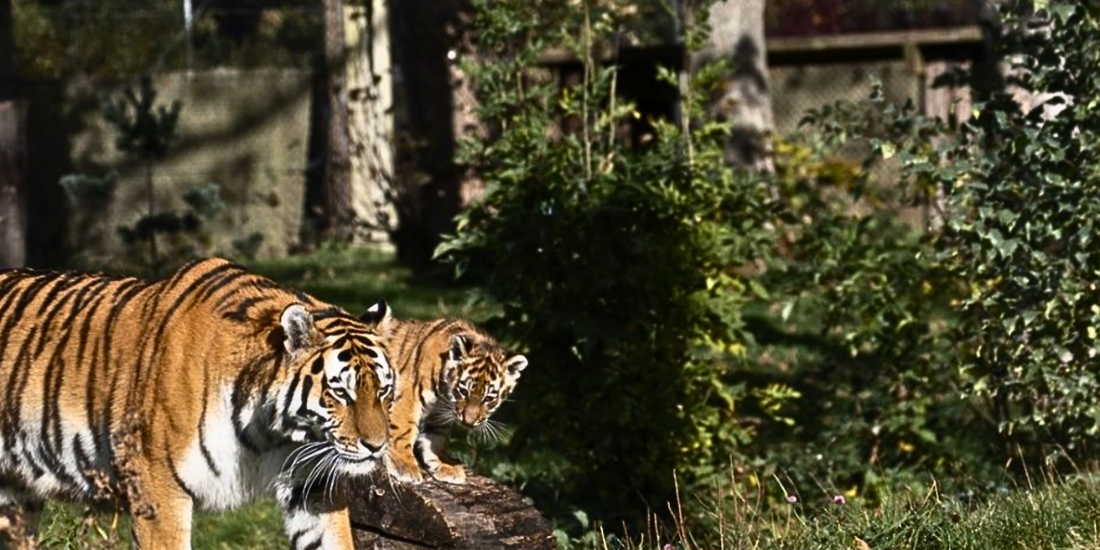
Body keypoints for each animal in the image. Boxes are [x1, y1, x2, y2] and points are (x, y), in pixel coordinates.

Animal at [0, 258, 397, 550]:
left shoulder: (310, 485)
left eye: (384, 390)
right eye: (340, 392)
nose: (377, 447)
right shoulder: (157, 490)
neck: (271, 434)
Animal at [359, 305, 527, 484]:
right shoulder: (409, 395)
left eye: (489, 398)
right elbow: (403, 429)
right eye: (464, 391)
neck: (445, 394)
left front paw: (445, 465)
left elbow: (437, 439)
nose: (468, 422)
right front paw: (404, 466)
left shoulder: (438, 412)